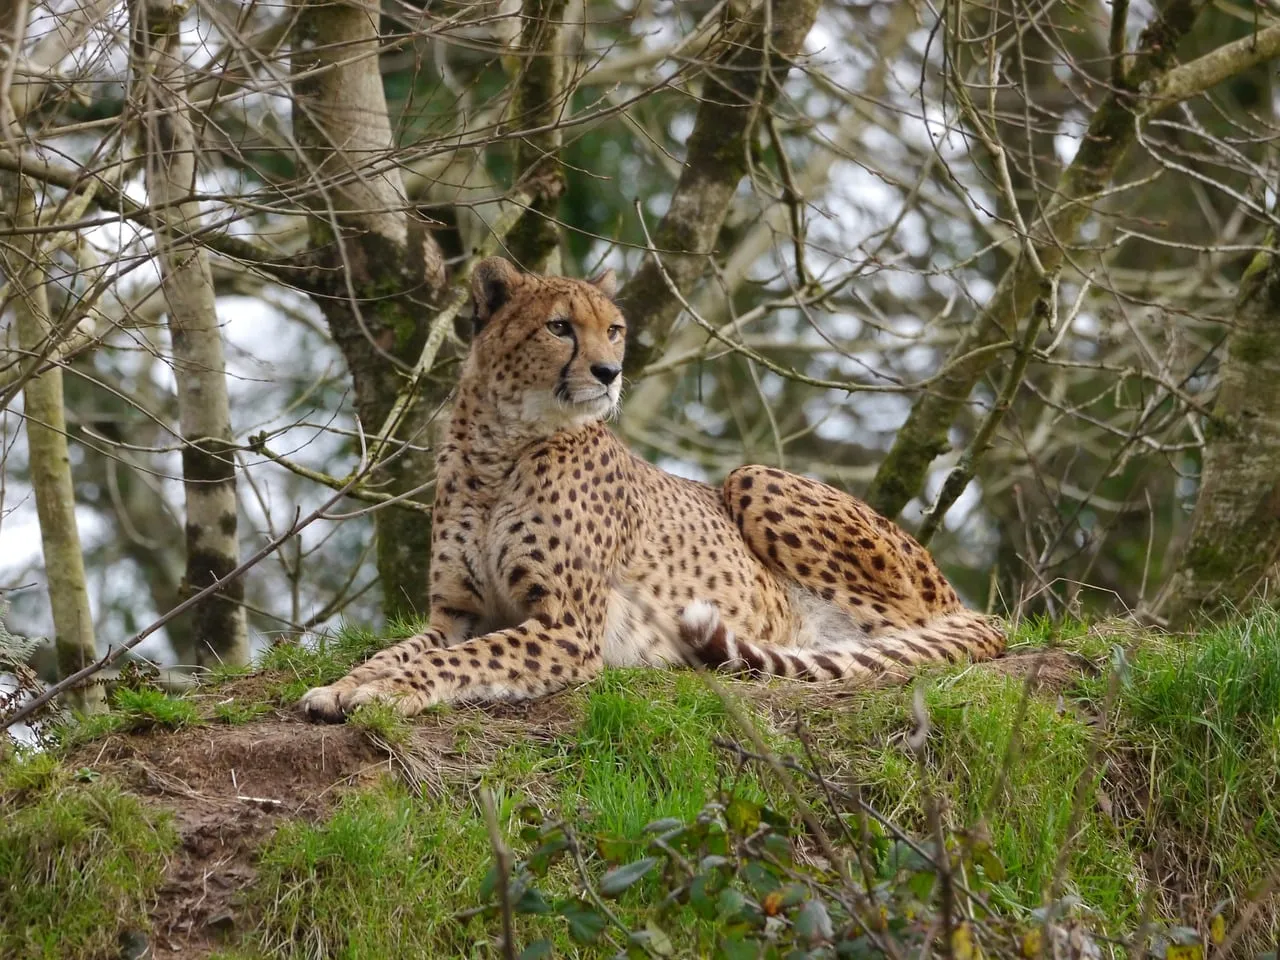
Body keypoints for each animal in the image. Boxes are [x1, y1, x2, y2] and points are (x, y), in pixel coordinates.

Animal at [299, 257, 1006, 721]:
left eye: (613, 329)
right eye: (559, 327)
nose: (609, 372)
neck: (500, 446)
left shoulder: (564, 629)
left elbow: (458, 661)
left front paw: (386, 690)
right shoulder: (457, 613)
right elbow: (402, 649)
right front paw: (347, 683)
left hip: (752, 475)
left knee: (905, 635)